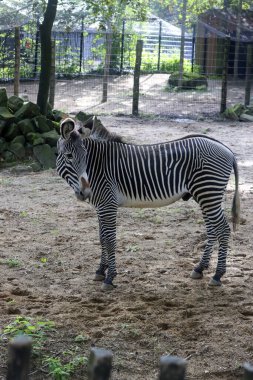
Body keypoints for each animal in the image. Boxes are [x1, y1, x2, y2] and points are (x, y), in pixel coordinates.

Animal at [56, 116, 240, 290]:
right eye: (69, 156)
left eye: (85, 156)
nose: (86, 192)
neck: (97, 166)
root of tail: (227, 150)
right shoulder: (100, 206)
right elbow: (102, 238)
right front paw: (101, 270)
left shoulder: (108, 204)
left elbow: (110, 240)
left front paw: (110, 277)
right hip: (204, 195)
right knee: (212, 230)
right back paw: (200, 268)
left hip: (208, 192)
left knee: (223, 230)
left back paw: (217, 275)